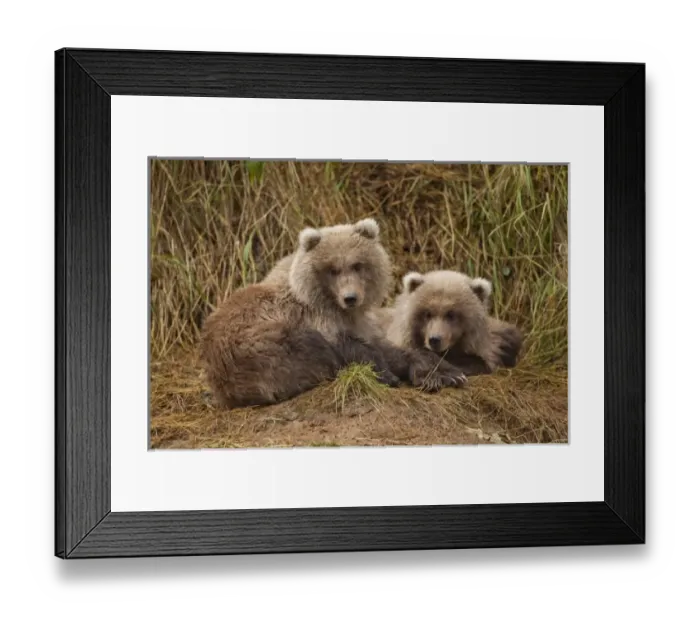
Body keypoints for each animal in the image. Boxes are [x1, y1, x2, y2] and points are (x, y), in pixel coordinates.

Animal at [200, 219, 468, 408]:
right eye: (332, 269)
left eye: (357, 265)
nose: (350, 297)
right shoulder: (317, 319)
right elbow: (352, 349)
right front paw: (389, 375)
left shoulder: (360, 322)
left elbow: (391, 348)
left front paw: (447, 374)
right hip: (260, 351)